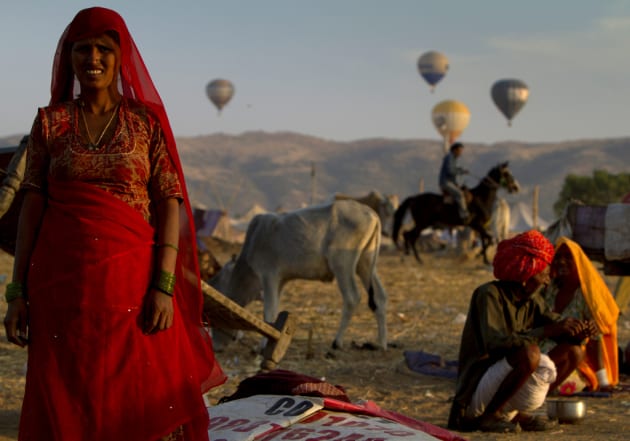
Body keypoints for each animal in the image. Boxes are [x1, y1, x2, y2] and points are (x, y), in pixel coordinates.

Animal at [392, 163, 520, 262]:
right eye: (506, 174)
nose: (516, 187)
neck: (481, 197)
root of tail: (414, 198)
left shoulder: (479, 226)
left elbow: (486, 240)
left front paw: (484, 259)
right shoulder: (477, 225)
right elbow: (488, 239)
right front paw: (484, 258)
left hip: (422, 224)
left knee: (409, 236)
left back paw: (412, 257)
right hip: (422, 223)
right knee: (409, 235)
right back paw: (413, 258)